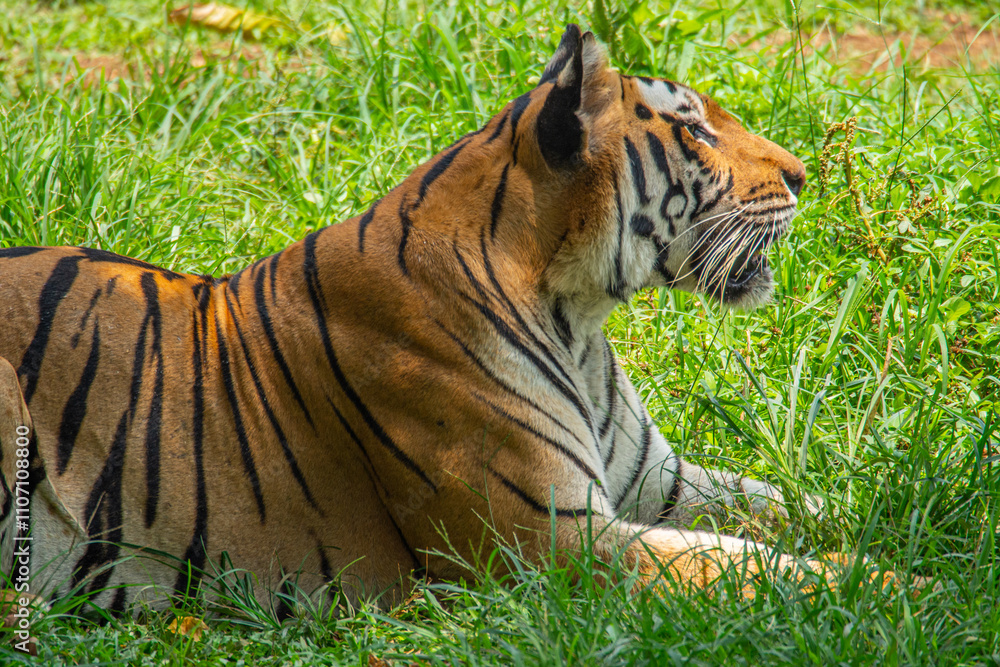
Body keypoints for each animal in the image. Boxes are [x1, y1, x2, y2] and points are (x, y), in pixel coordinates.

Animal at [0, 24, 832, 617]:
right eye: (694, 130)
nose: (801, 174)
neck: (578, 310)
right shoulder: (557, 545)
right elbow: (750, 566)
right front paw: (866, 587)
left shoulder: (656, 481)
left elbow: (792, 504)